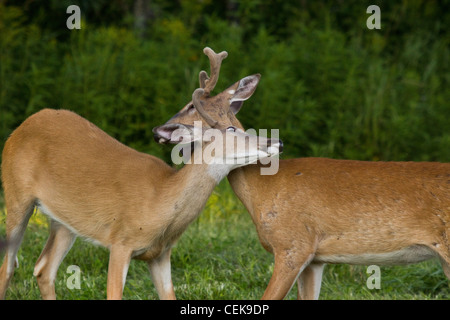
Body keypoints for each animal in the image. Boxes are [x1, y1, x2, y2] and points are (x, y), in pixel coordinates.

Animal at [0, 89, 282, 298]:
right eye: (233, 130)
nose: (275, 141)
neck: (161, 201)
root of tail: (23, 125)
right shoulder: (120, 241)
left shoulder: (161, 254)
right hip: (15, 193)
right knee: (8, 266)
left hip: (65, 220)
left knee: (43, 269)